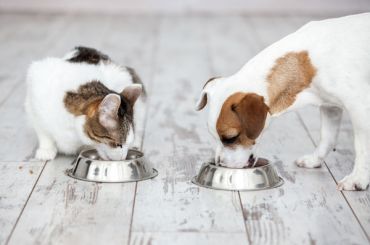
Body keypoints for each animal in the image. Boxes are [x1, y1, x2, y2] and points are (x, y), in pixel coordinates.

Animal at [195, 12, 368, 190]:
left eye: (231, 138)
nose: (220, 164)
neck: (307, 64)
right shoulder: (330, 107)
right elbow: (327, 137)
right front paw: (315, 160)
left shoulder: (360, 108)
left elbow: (362, 147)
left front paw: (358, 179)